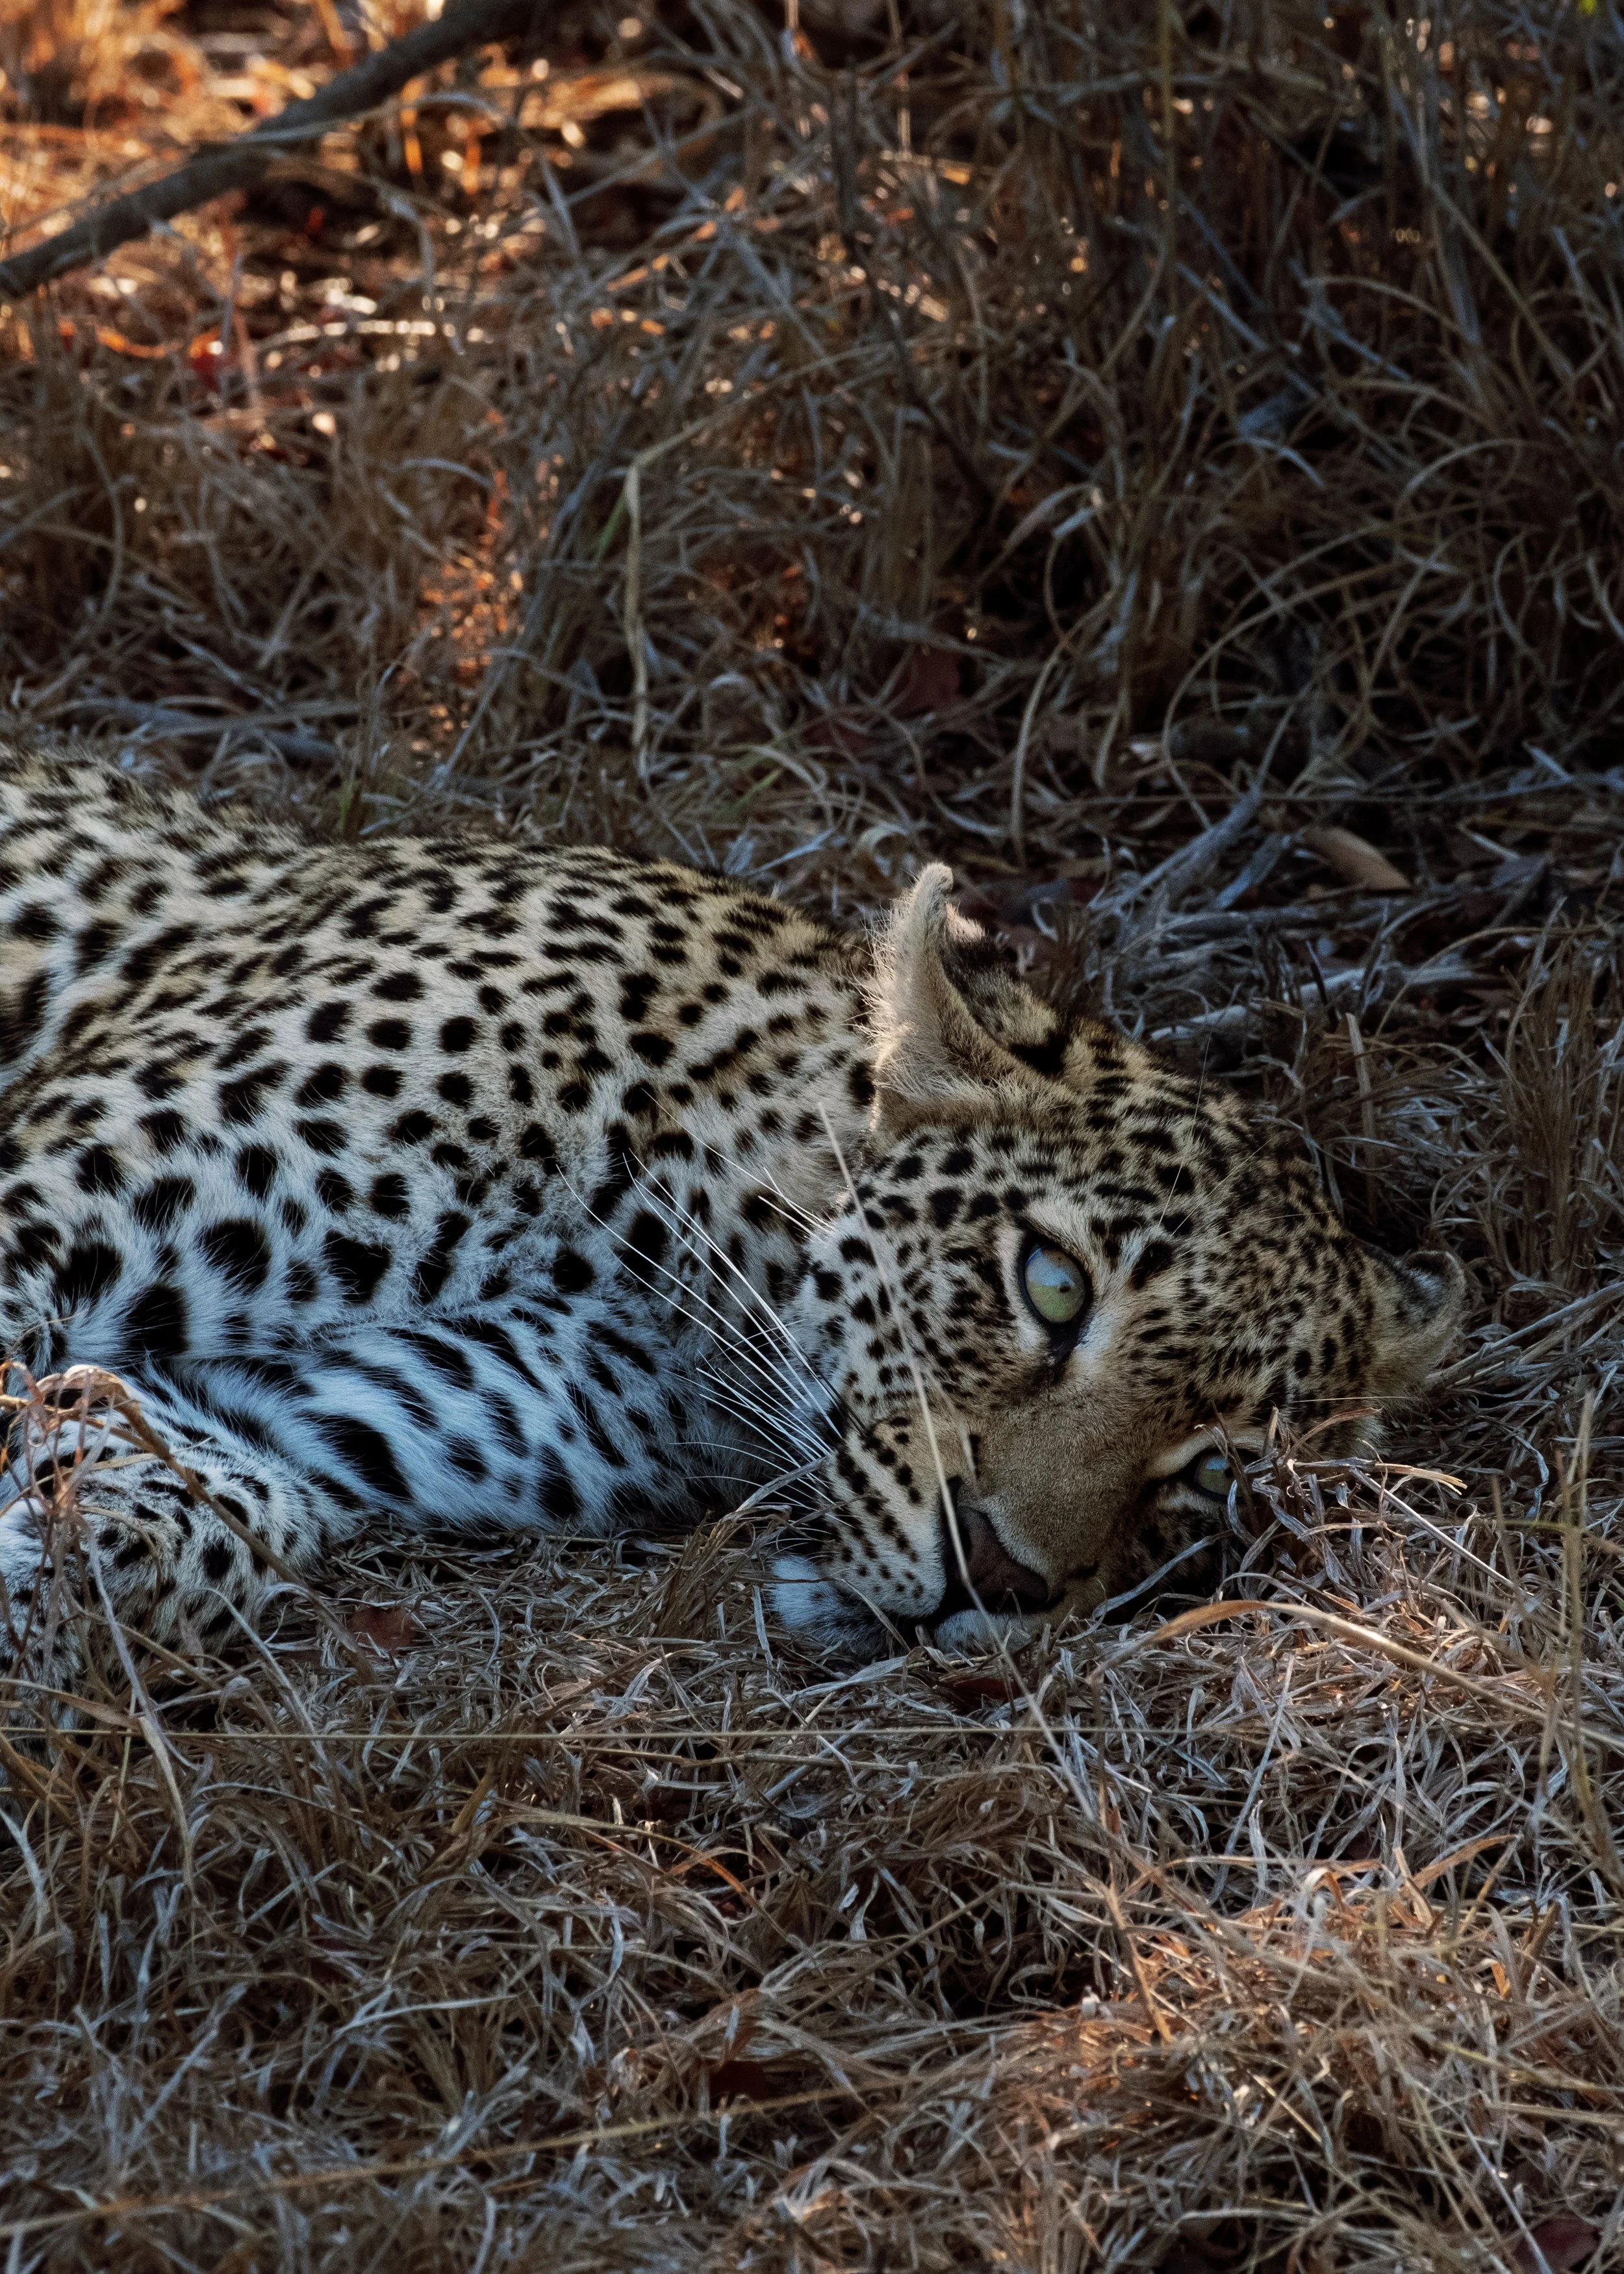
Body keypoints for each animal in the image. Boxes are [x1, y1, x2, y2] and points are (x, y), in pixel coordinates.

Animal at [0, 742, 1463, 1709]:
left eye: (1216, 1467)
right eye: (1052, 1284)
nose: (1000, 1579)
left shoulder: (330, 1406)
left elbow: (217, 1504)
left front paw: (62, 1573)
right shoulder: (44, 1202)